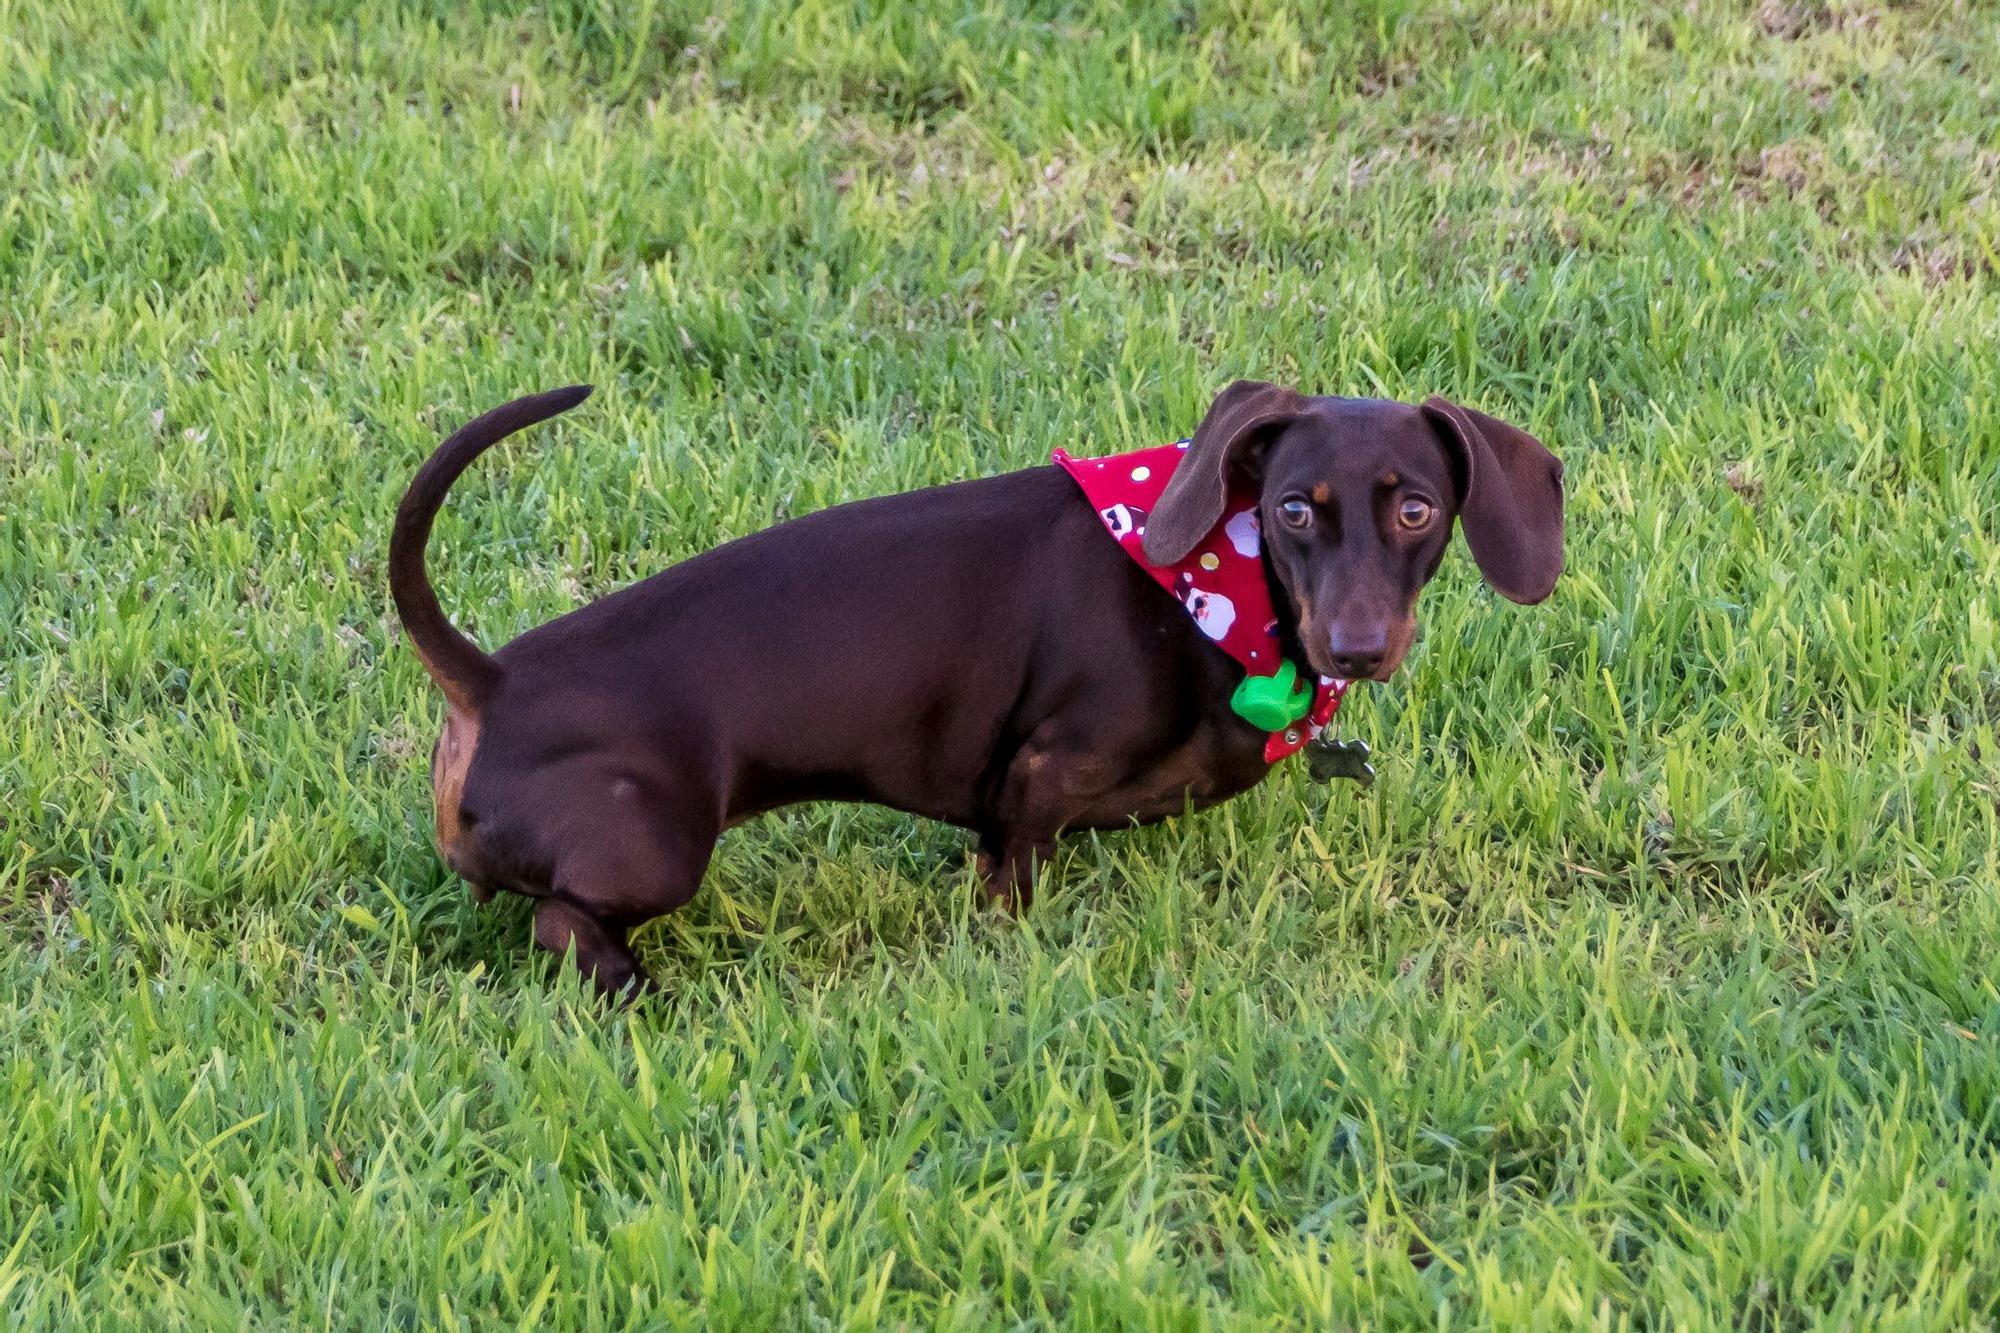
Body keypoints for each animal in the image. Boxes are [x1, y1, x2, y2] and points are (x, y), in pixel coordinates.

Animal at [390, 378, 1560, 992]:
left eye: (1416, 509)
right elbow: (1015, 876)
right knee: (560, 926)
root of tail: (491, 678)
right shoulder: (1041, 773)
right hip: (653, 850)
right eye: (1292, 508)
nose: (1358, 648)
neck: (1208, 582)